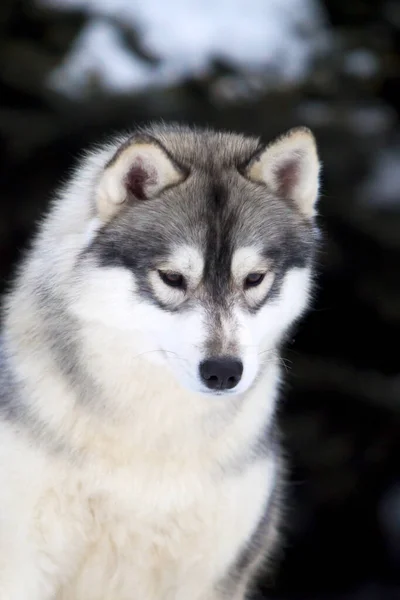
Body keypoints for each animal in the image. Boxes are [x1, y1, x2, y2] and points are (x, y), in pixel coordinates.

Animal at [0, 123, 318, 600]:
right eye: (172, 277)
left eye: (254, 279)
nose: (223, 372)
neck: (150, 438)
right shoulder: (21, 566)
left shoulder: (212, 580)